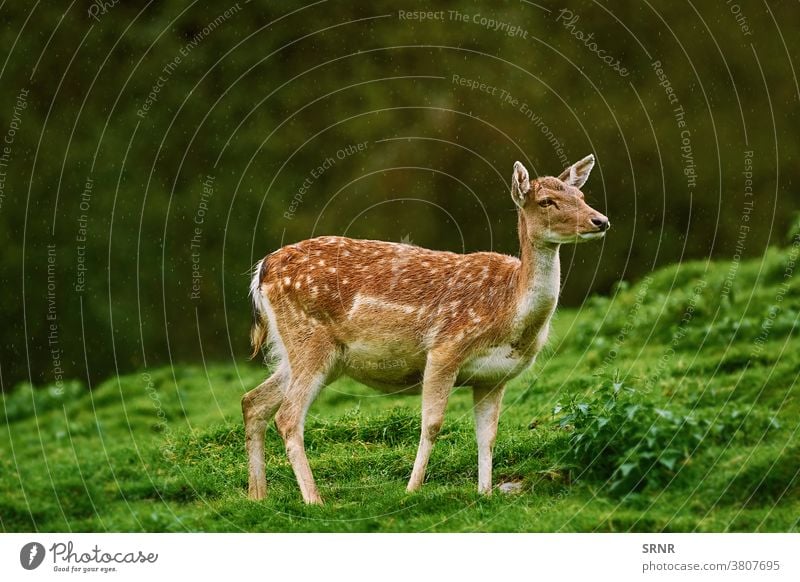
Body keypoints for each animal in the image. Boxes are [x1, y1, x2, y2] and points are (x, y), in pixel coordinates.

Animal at [242, 156, 608, 506]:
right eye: (547, 201)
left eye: (581, 196)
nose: (600, 221)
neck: (509, 311)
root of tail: (262, 269)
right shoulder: (445, 348)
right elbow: (432, 424)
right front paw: (412, 490)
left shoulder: (494, 377)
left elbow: (488, 436)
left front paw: (485, 494)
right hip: (309, 340)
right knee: (287, 417)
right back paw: (314, 500)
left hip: (309, 353)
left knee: (253, 402)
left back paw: (257, 496)